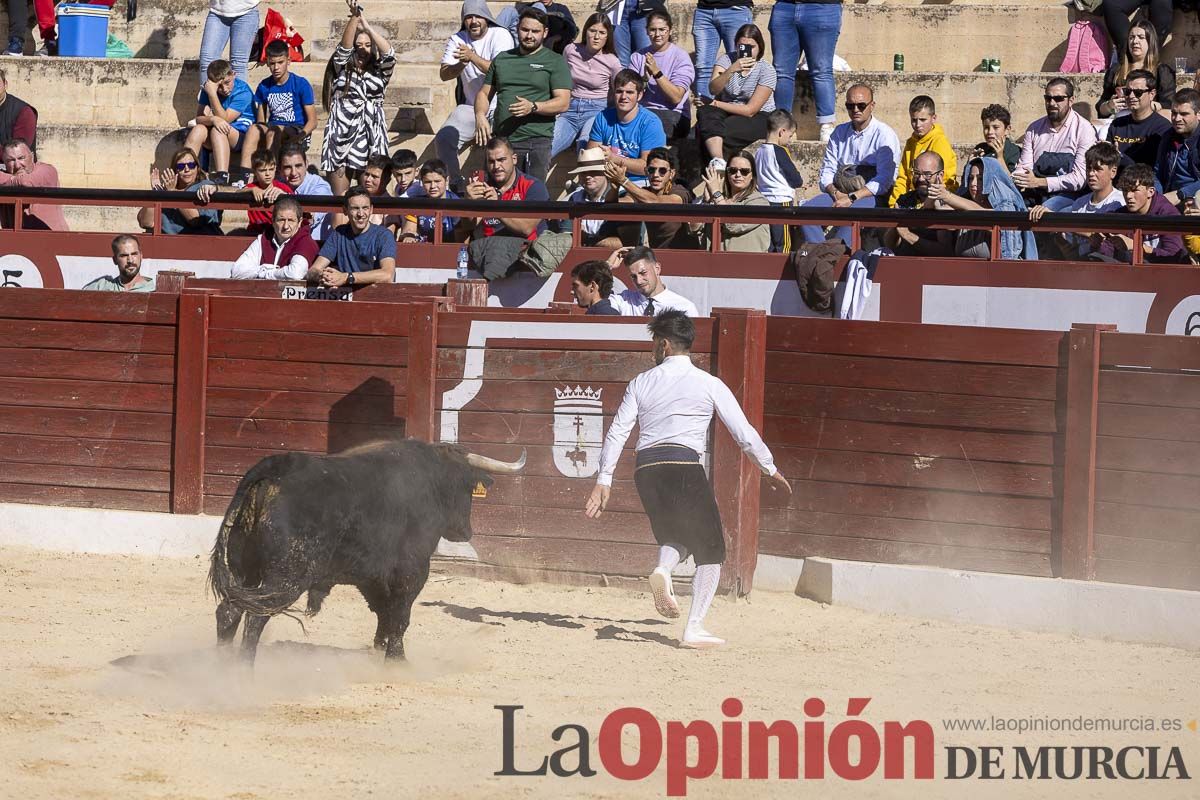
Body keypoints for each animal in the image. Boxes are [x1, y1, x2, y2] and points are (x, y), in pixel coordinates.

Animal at [207, 441, 525, 662]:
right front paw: (397, 660)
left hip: (244, 571)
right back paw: (244, 671)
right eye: (468, 488)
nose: (464, 532)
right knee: (255, 616)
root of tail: (275, 468)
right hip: (285, 576)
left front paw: (379, 649)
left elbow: (384, 612)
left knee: (229, 611)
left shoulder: (371, 575)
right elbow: (400, 614)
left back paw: (222, 667)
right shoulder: (412, 569)